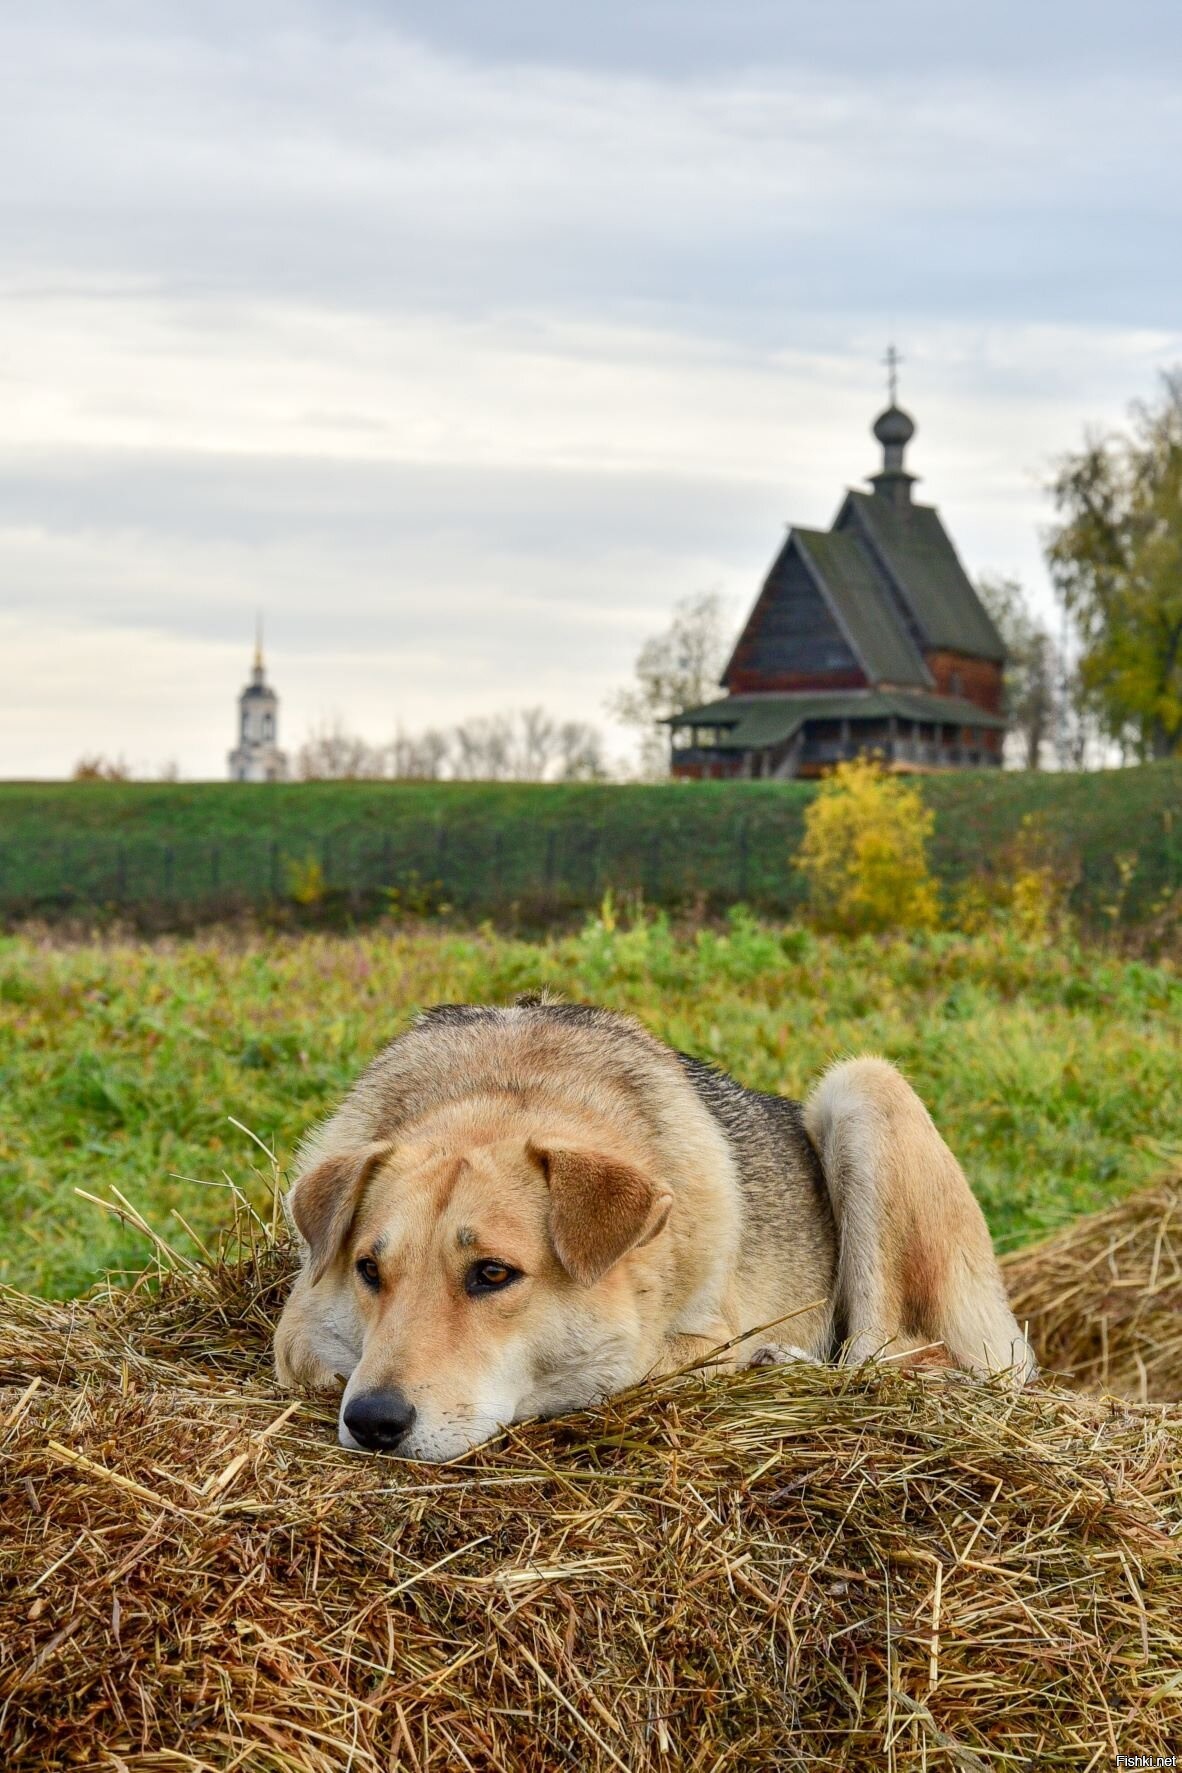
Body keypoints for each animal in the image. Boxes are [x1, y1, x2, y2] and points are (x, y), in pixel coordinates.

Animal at [278, 999, 1034, 1453]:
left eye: (493, 1273)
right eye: (369, 1271)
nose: (372, 1420)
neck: (510, 1089)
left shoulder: (696, 1335)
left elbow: (632, 1367)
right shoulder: (298, 1332)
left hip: (865, 1089)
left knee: (902, 1359)